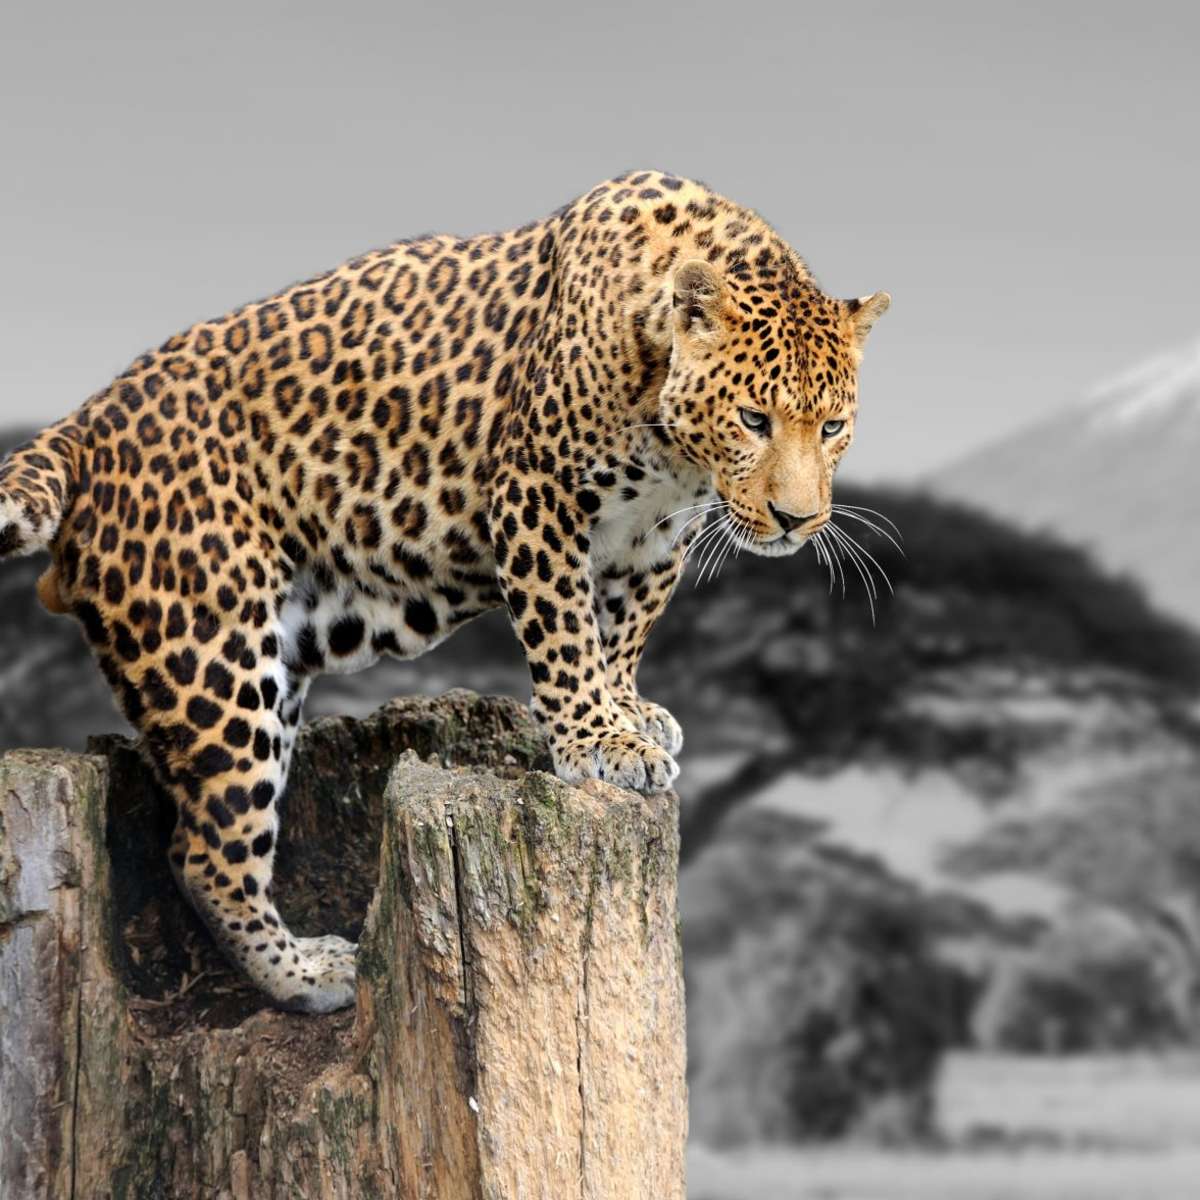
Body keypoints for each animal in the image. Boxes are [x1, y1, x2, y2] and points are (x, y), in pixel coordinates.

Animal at [0, 171, 889, 1012]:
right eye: (754, 419)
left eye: (832, 427)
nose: (797, 520)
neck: (672, 442)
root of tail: (84, 421)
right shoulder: (535, 494)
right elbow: (567, 632)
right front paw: (594, 740)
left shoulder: (655, 536)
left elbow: (622, 630)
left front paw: (629, 713)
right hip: (213, 653)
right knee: (206, 850)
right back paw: (305, 974)